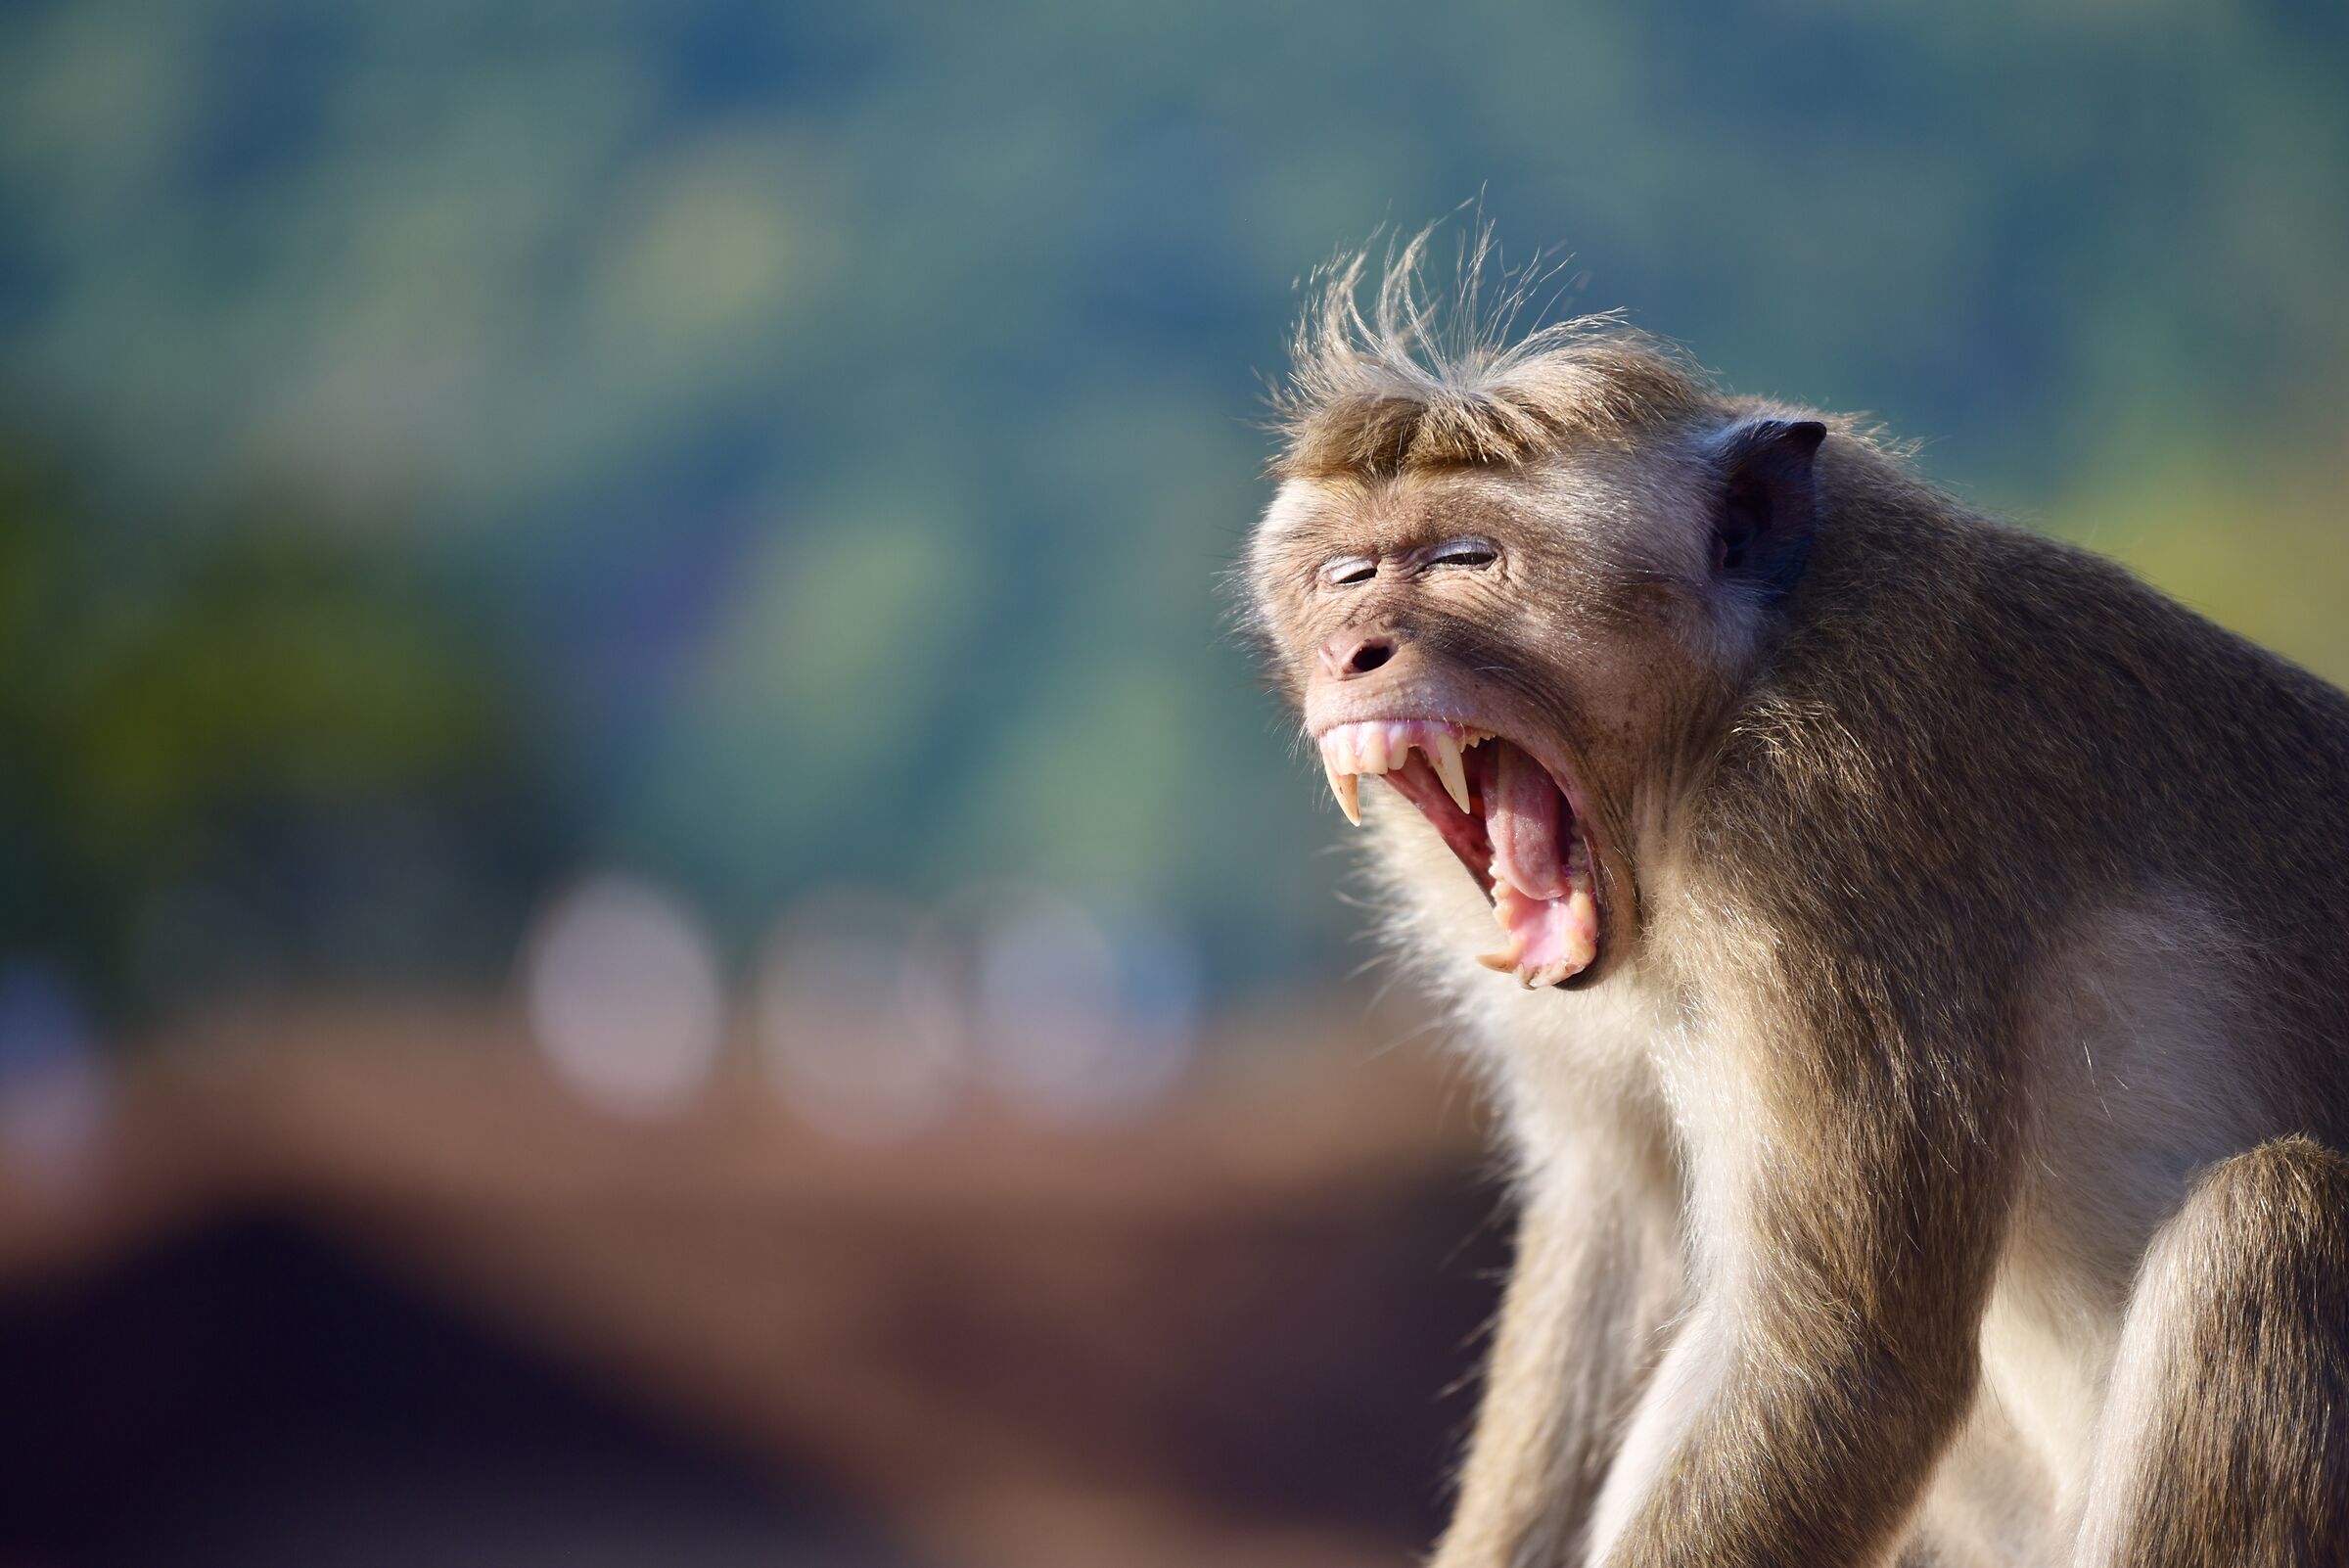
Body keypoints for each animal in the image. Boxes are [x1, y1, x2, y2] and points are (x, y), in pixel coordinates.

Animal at [1243, 232, 2349, 1568]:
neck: (1724, 709)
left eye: (1466, 561)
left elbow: (1844, 1363)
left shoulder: (1837, 840)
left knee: (2276, 1220)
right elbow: (1629, 1236)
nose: (1352, 649)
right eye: (1344, 574)